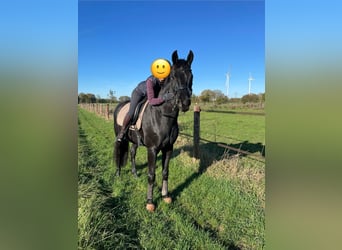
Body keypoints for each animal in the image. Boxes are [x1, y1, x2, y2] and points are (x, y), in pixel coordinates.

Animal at [113, 49, 194, 212]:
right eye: (173, 76)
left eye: (191, 75)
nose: (184, 103)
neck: (163, 116)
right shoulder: (152, 149)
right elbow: (151, 174)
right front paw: (150, 202)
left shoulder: (168, 148)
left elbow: (165, 172)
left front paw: (165, 196)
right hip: (119, 136)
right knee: (119, 150)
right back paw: (118, 174)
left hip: (134, 141)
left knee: (132, 153)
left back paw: (135, 174)